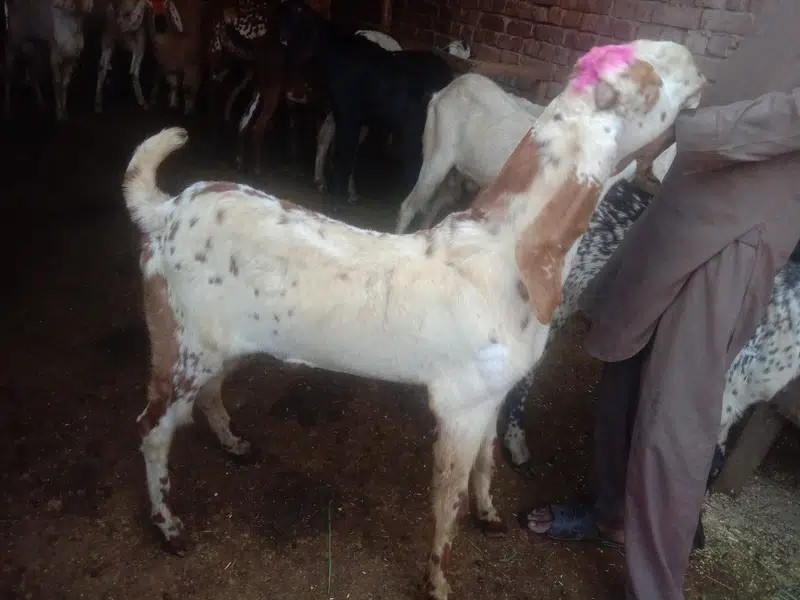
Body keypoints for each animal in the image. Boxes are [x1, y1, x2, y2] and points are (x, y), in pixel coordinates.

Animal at [122, 40, 705, 599]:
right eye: (648, 82)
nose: (697, 68)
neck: (505, 254)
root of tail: (164, 211)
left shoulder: (492, 393)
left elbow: (487, 461)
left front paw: (490, 514)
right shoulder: (460, 406)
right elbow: (447, 498)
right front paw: (438, 581)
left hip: (217, 342)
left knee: (209, 392)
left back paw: (233, 444)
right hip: (178, 339)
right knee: (152, 427)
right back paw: (169, 527)